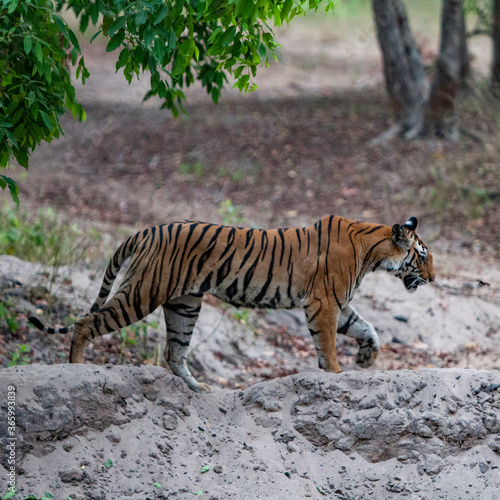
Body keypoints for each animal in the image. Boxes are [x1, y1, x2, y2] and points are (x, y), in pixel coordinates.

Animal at [29, 213, 434, 392]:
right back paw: (76, 368)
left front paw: (366, 357)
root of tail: (146, 230)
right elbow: (330, 344)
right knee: (87, 323)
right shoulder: (324, 303)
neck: (373, 251)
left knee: (174, 351)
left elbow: (368, 328)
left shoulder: (339, 304)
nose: (432, 279)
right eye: (422, 256)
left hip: (184, 304)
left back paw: (198, 388)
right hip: (142, 293)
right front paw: (336, 374)